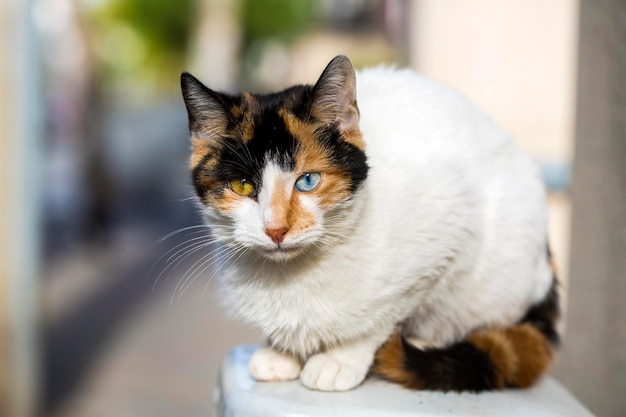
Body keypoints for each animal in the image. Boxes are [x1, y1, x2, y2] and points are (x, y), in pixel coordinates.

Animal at [178, 54, 560, 390]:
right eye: (243, 185)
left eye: (308, 181)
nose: (276, 229)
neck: (290, 277)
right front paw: (281, 352)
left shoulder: (449, 228)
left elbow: (381, 319)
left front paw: (340, 359)